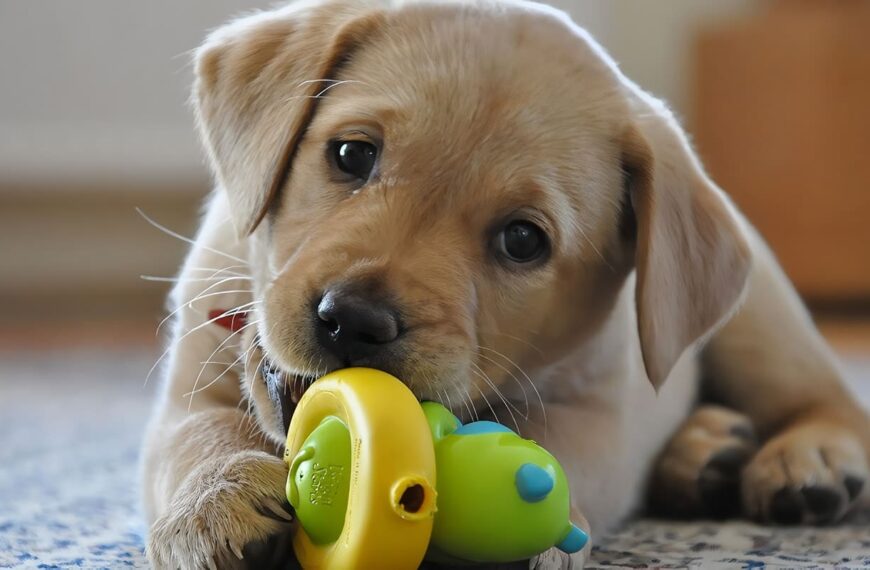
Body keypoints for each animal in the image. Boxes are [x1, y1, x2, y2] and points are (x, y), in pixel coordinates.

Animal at [140, 0, 868, 564]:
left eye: (522, 240)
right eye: (351, 154)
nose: (353, 320)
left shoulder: (599, 414)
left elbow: (554, 449)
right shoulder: (191, 383)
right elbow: (201, 436)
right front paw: (217, 501)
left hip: (761, 324)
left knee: (832, 402)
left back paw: (806, 460)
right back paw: (705, 454)